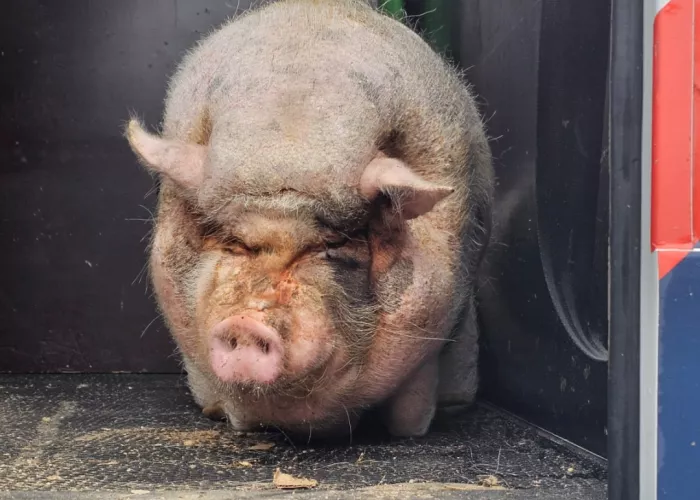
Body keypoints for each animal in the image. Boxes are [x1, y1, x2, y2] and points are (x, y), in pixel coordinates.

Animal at [125, 0, 493, 438]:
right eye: (235, 243)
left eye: (330, 244)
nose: (247, 322)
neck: (293, 131)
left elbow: (412, 406)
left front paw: (411, 434)